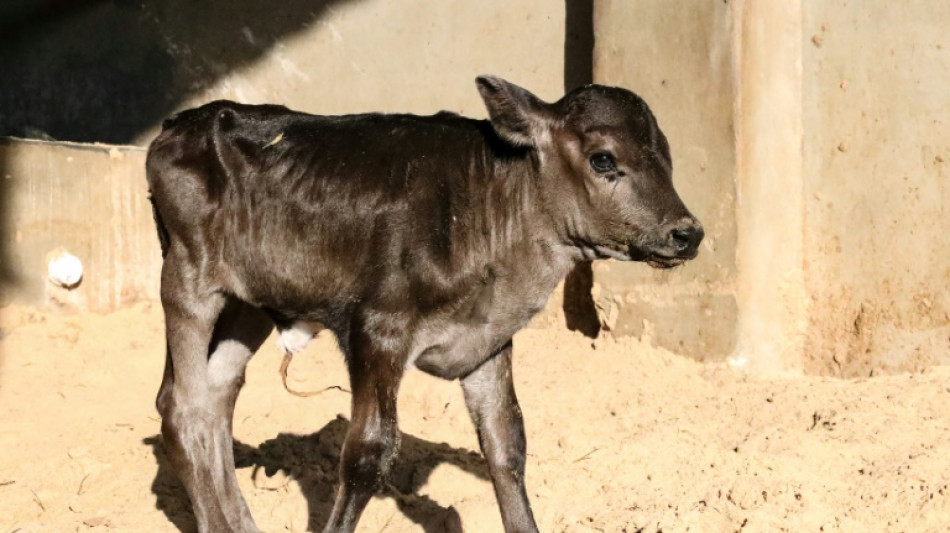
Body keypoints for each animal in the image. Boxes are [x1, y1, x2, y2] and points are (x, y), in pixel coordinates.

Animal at [145, 76, 704, 532]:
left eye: (667, 157)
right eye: (603, 158)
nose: (687, 233)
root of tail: (181, 124)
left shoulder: (486, 340)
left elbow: (506, 444)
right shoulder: (377, 330)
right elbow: (368, 454)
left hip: (248, 304)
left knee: (217, 397)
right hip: (188, 277)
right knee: (182, 408)